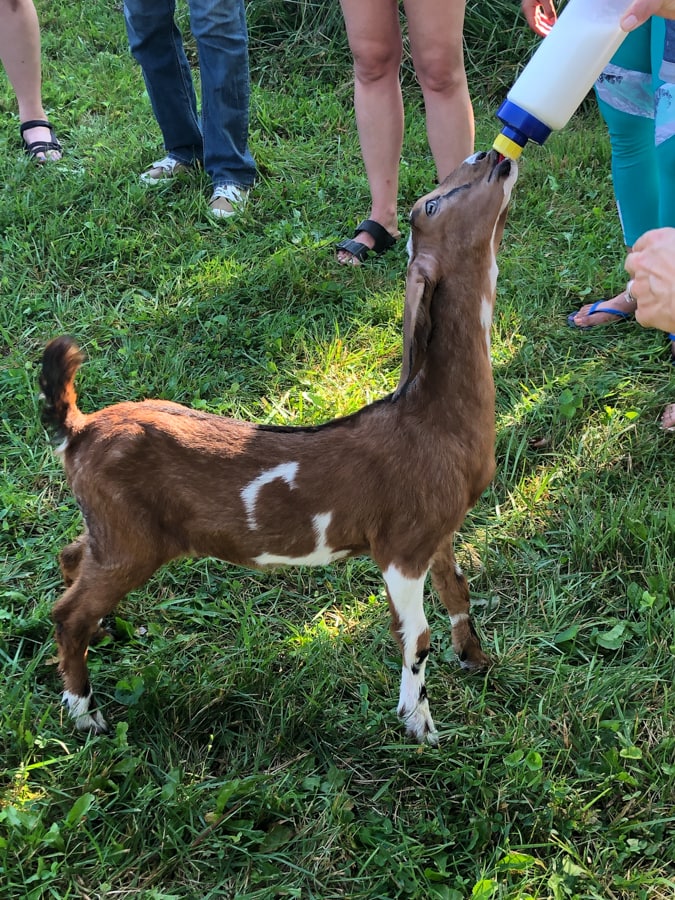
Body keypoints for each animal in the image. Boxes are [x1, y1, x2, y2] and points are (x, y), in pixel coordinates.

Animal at [40, 149, 517, 743]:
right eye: (430, 205)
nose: (492, 153)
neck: (430, 418)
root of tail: (78, 429)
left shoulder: (440, 528)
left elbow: (457, 589)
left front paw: (475, 659)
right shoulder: (401, 546)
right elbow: (415, 635)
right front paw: (420, 727)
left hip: (110, 529)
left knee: (72, 559)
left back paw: (103, 635)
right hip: (131, 541)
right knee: (67, 615)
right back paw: (86, 713)